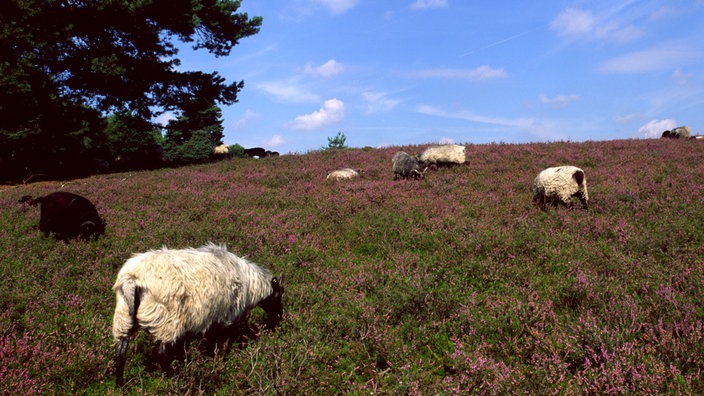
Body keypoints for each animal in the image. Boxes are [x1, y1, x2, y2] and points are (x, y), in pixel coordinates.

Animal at [113, 241, 284, 386]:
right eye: (281, 292)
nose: (279, 318)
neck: (251, 285)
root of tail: (131, 280)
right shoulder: (227, 317)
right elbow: (223, 344)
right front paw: (221, 363)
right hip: (168, 321)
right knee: (162, 355)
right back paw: (174, 380)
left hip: (123, 317)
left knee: (120, 354)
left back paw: (120, 386)